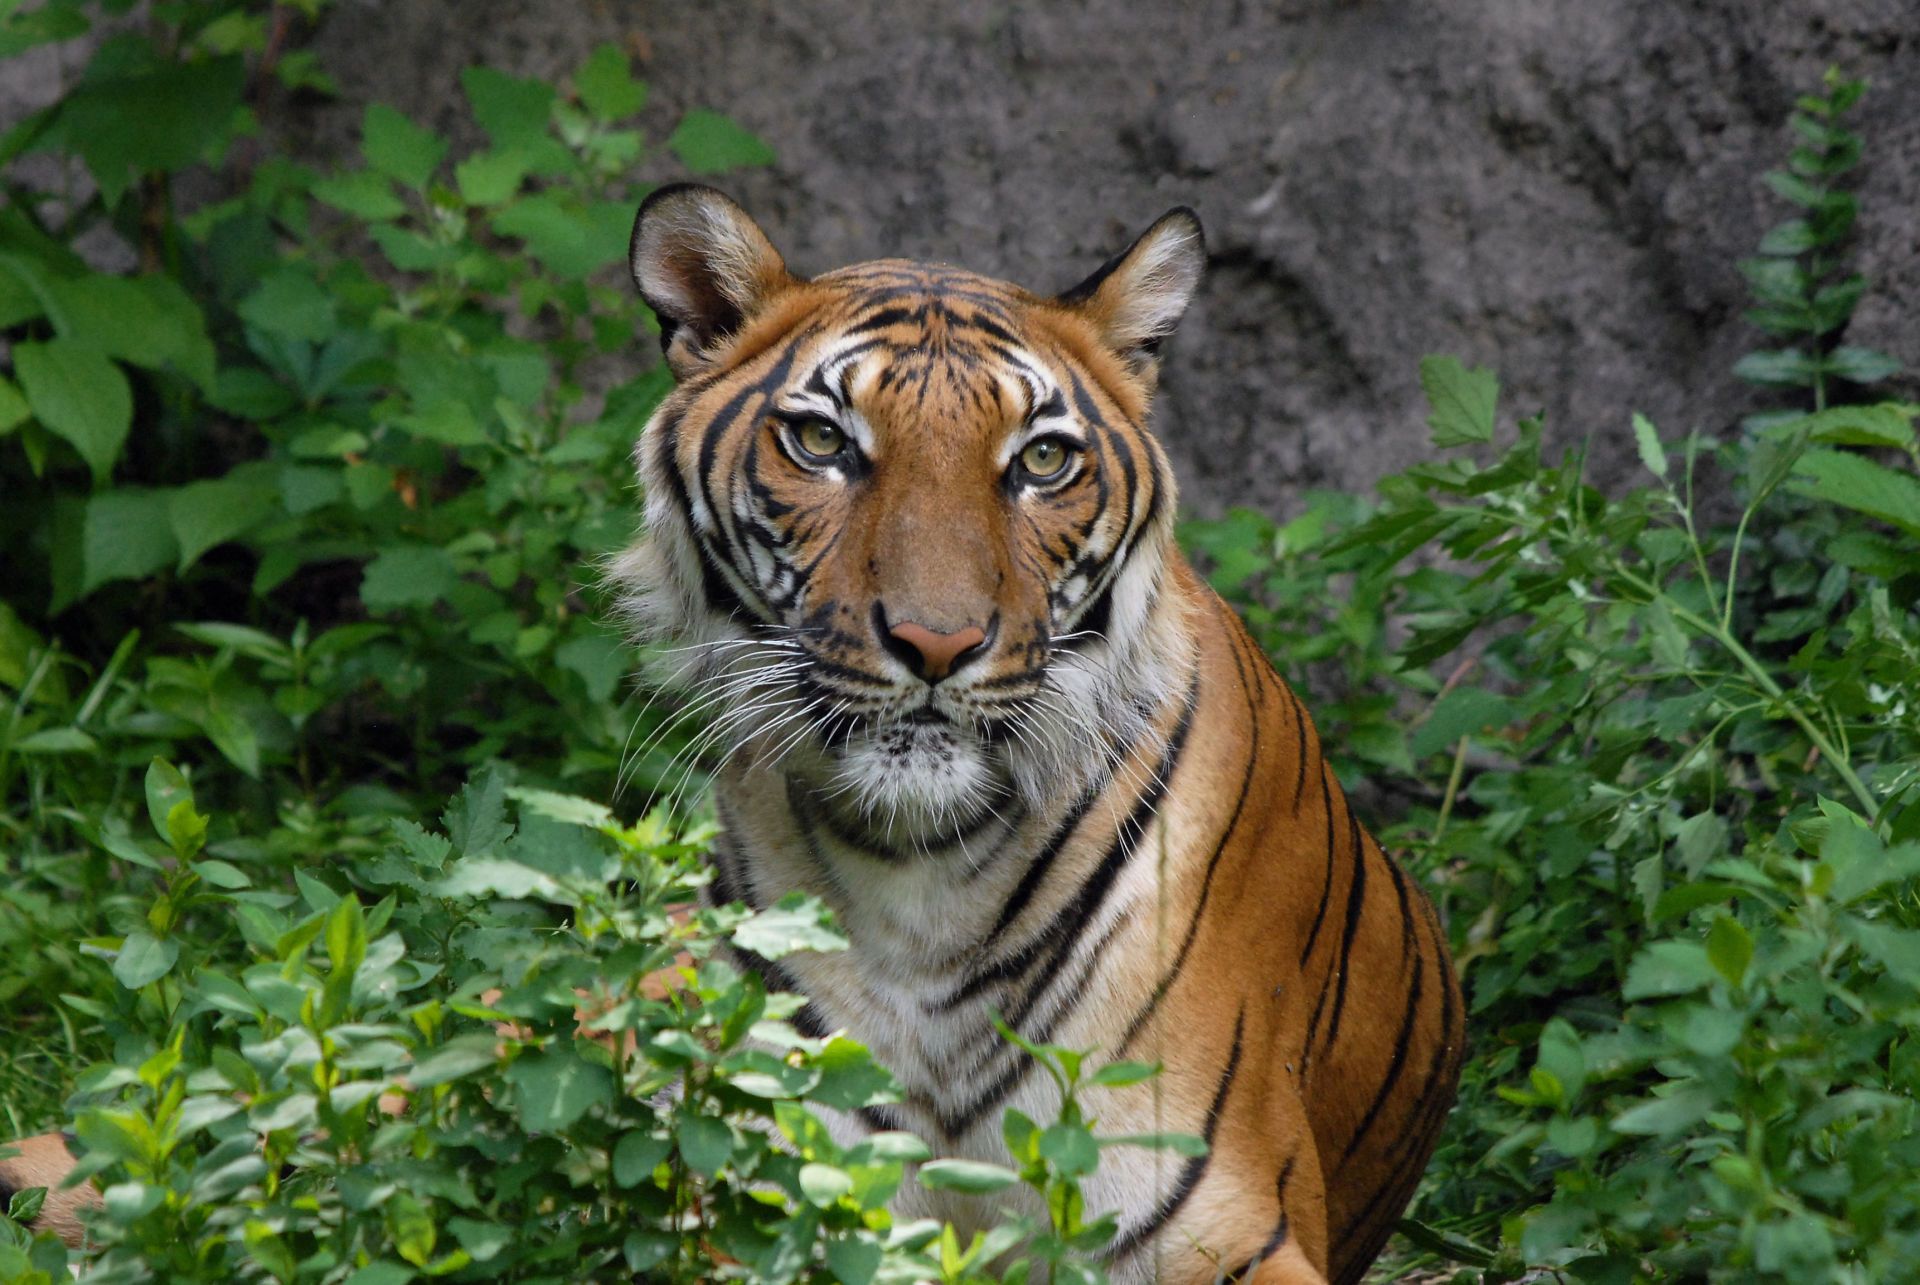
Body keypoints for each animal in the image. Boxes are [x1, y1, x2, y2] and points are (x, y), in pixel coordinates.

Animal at [0, 185, 1463, 1285]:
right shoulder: (742, 1188)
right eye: (823, 443)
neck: (924, 871)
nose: (936, 644)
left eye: (1041, 462)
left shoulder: (1217, 1227)